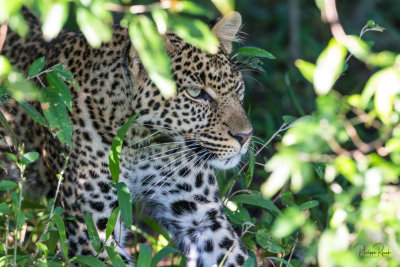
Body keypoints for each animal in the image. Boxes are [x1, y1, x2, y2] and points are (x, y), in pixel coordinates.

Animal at [0, 9, 253, 266]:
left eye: (237, 87)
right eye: (195, 93)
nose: (245, 136)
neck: (141, 141)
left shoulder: (203, 217)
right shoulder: (90, 231)